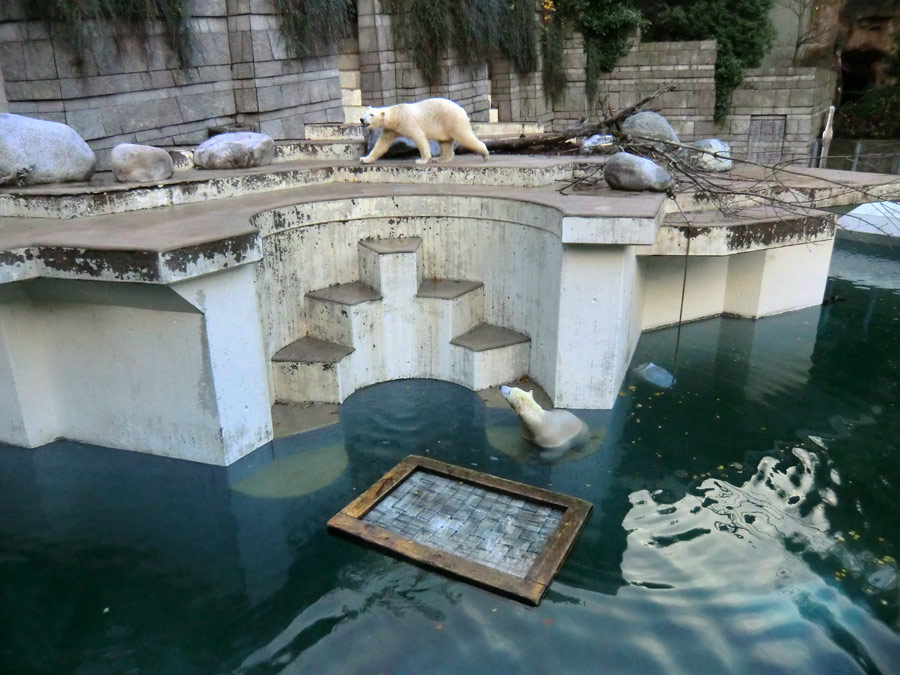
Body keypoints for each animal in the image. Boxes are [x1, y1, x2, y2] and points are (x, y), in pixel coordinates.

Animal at [358, 97, 488, 165]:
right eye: (365, 112)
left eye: (371, 114)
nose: (361, 119)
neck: (395, 115)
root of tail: (463, 110)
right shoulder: (390, 130)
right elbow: (381, 144)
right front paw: (364, 159)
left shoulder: (407, 121)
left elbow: (419, 137)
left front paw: (422, 160)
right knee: (444, 142)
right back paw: (440, 159)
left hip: (453, 120)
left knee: (465, 137)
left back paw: (485, 154)